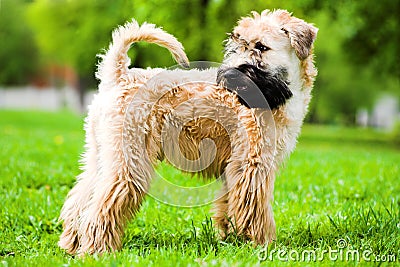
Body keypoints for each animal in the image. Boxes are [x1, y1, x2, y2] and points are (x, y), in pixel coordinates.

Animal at [59, 9, 318, 255]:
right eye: (237, 45)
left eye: (262, 47)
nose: (229, 77)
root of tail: (120, 76)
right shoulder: (251, 165)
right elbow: (256, 210)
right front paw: (262, 244)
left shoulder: (234, 167)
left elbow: (229, 206)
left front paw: (231, 240)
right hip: (130, 163)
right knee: (101, 207)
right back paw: (97, 250)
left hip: (101, 156)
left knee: (80, 200)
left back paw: (71, 245)